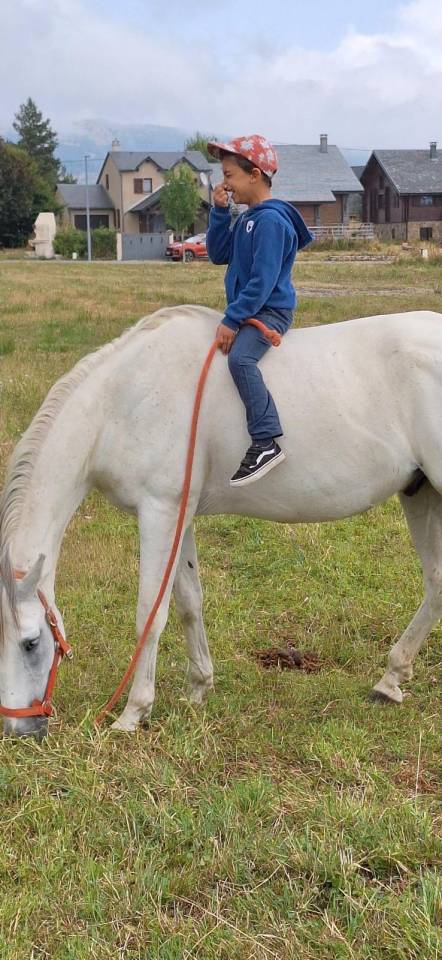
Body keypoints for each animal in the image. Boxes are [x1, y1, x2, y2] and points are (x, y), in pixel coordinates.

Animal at [1, 305, 441, 739]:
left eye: (31, 642)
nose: (18, 728)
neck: (119, 403)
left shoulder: (159, 512)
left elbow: (150, 613)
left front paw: (133, 712)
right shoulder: (178, 516)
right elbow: (188, 601)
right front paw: (199, 688)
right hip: (420, 494)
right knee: (436, 583)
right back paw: (389, 681)